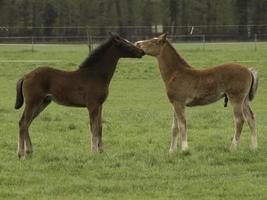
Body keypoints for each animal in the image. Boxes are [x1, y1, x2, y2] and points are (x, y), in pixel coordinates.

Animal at [14, 34, 144, 158]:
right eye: (125, 44)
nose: (142, 52)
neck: (95, 75)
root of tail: (26, 76)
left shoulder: (100, 105)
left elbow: (100, 126)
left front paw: (101, 151)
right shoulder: (92, 105)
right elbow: (93, 127)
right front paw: (94, 151)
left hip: (43, 102)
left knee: (27, 123)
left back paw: (29, 151)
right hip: (32, 102)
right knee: (23, 123)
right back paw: (21, 154)